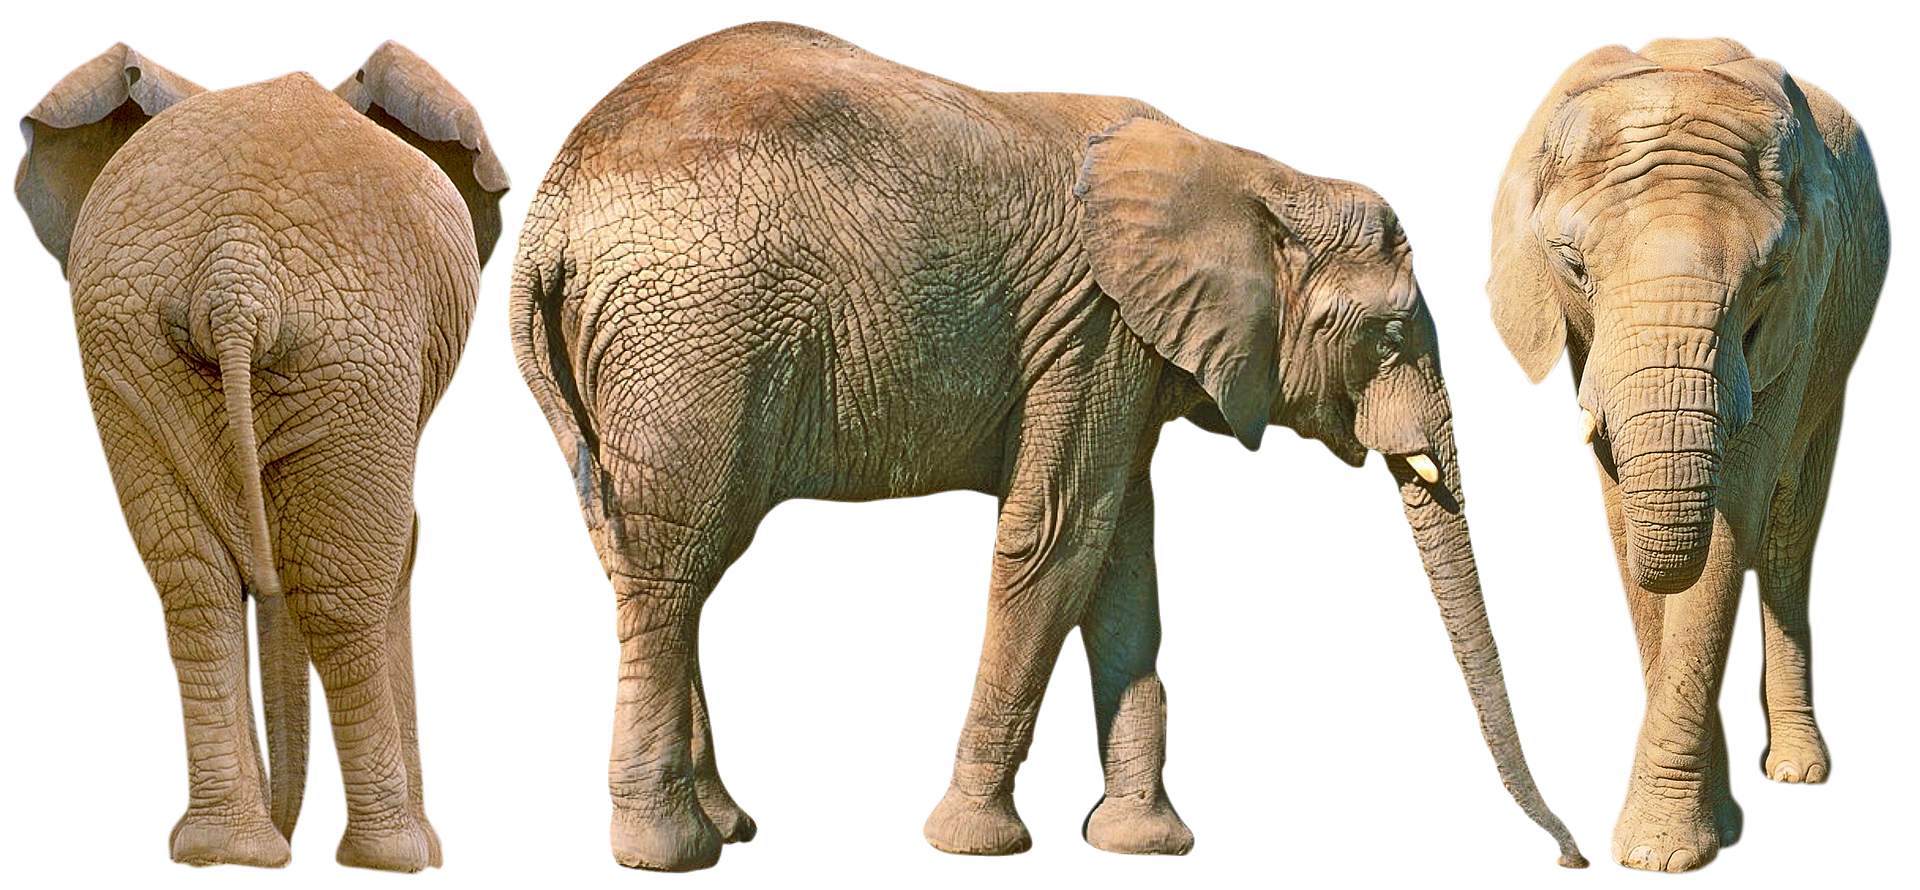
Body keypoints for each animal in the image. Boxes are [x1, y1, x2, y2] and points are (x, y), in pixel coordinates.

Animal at [13, 39, 507, 872]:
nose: (288, 825)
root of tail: (233, 270)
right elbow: (402, 554)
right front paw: (426, 851)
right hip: (355, 349)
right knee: (340, 594)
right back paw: (387, 856)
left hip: (135, 341)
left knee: (191, 580)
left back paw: (229, 852)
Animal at [508, 22, 1586, 871]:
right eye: (1390, 338)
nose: (1570, 857)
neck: (1249, 176)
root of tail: (550, 214)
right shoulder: (1094, 329)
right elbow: (1060, 536)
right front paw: (977, 846)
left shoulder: (1127, 351)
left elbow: (1126, 559)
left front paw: (1143, 846)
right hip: (693, 340)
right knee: (676, 559)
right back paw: (671, 852)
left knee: (650, 557)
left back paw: (725, 825)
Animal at [1484, 36, 1890, 874]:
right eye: (1572, 264)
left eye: (1768, 277)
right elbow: (1622, 519)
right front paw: (1704, 830)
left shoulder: (1801, 311)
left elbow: (1733, 515)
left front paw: (1662, 854)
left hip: (1843, 342)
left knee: (1789, 530)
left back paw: (1796, 771)